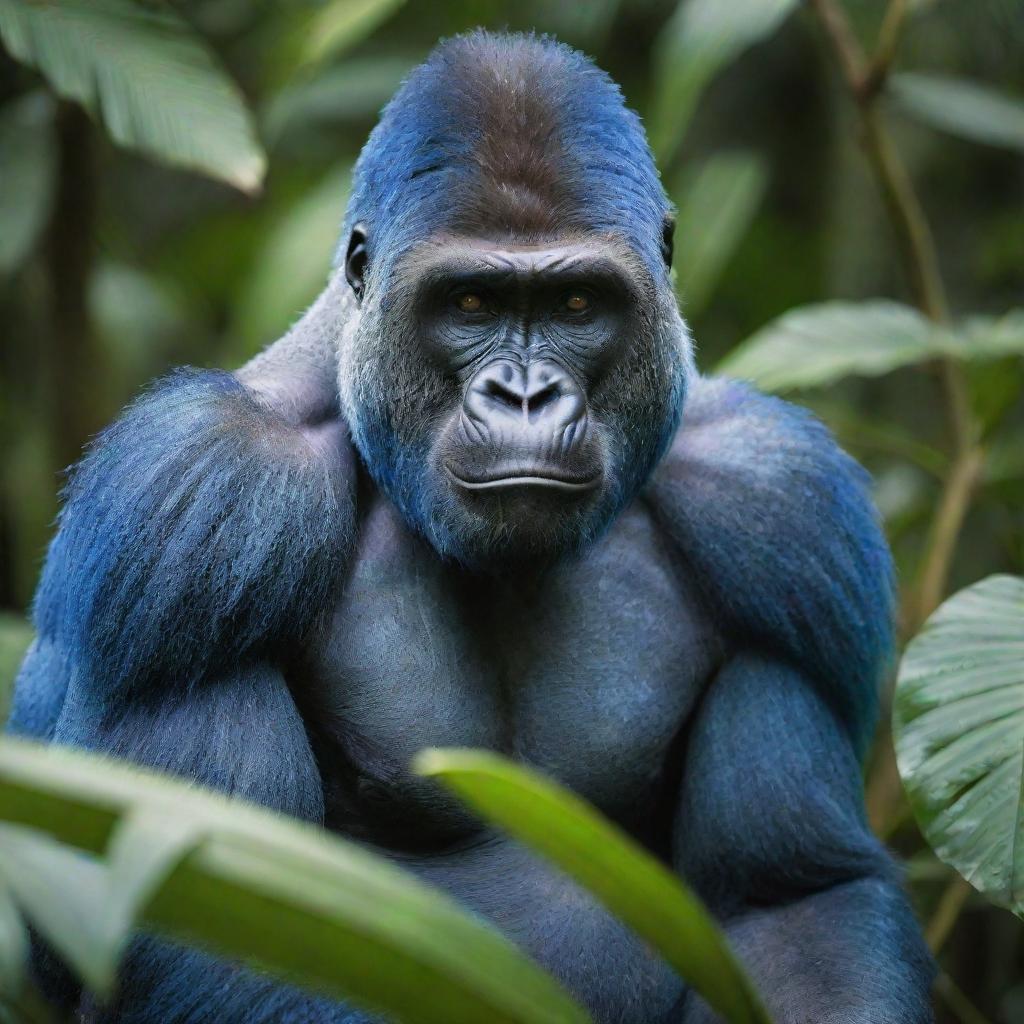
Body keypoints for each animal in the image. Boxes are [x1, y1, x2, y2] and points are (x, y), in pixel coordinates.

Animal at [9, 28, 937, 1024]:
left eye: (578, 306)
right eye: (471, 304)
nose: (524, 395)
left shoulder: (783, 506)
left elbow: (795, 898)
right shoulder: (194, 500)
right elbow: (196, 912)